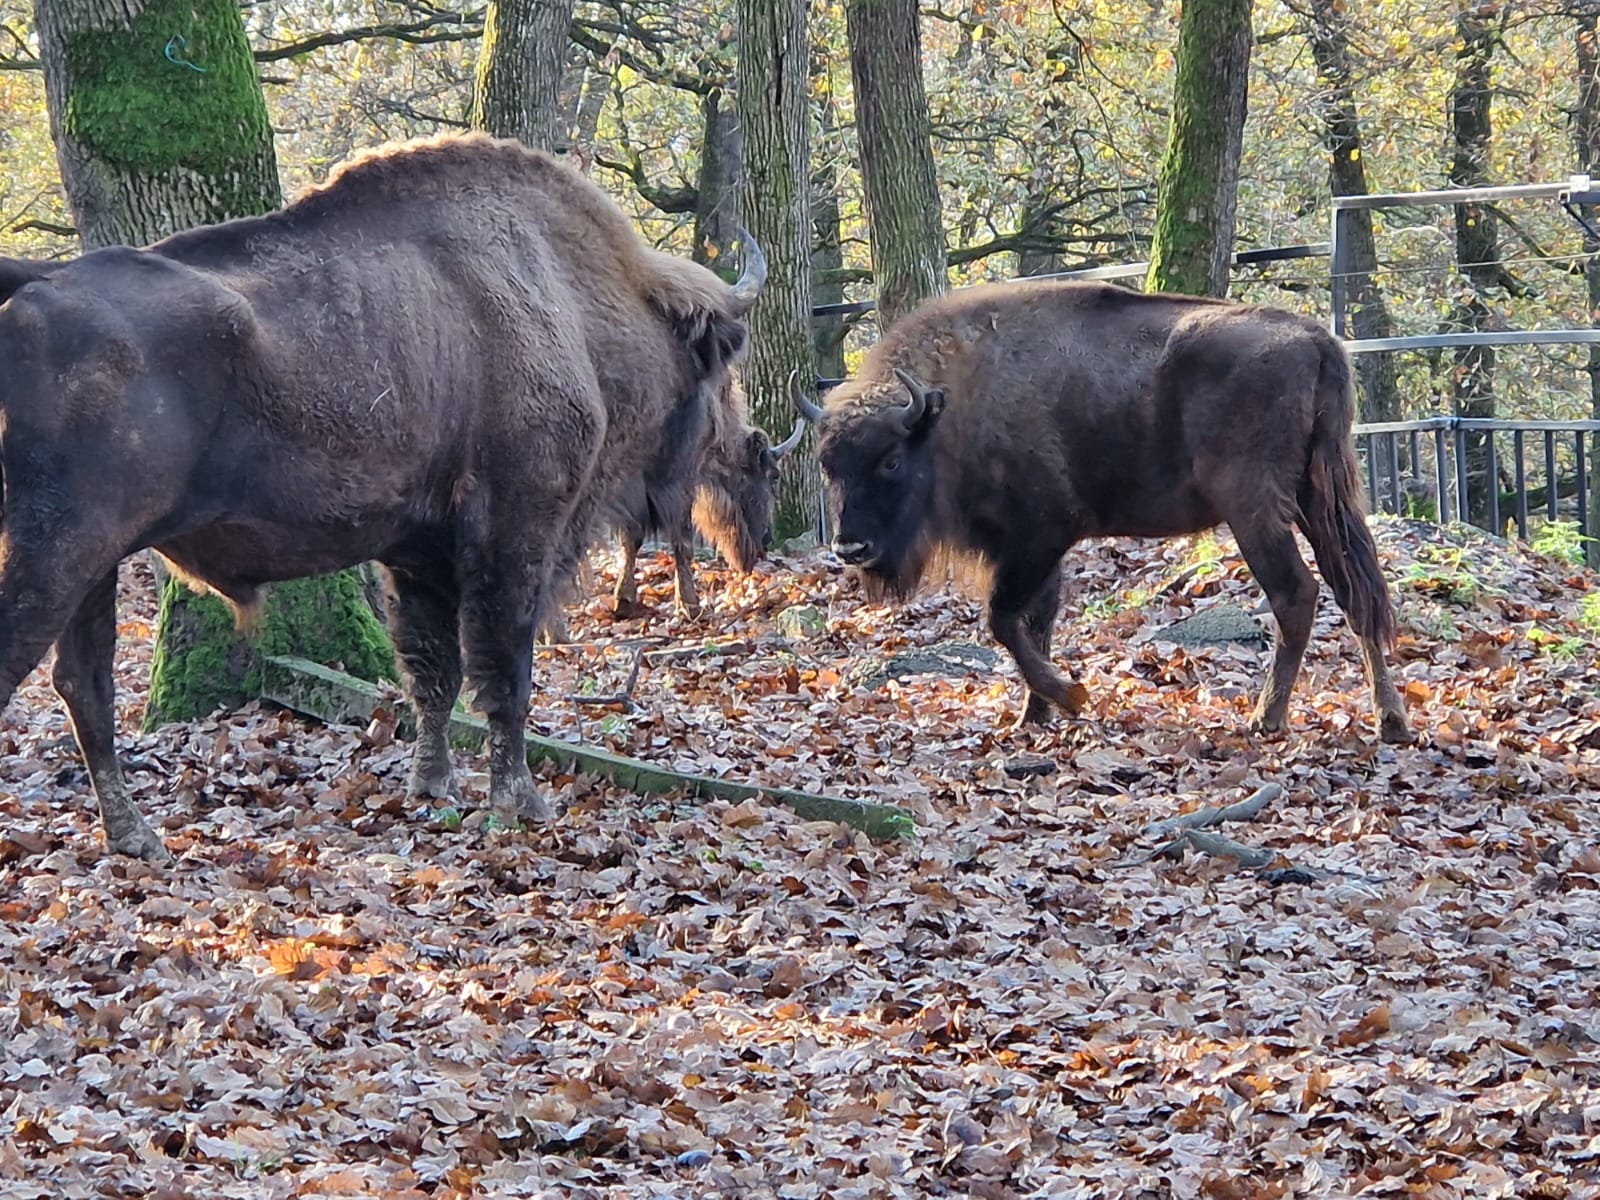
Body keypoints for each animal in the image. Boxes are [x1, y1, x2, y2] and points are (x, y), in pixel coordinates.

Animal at [0, 131, 768, 864]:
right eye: (720, 370)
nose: (730, 441)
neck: (575, 303)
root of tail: (40, 278)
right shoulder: (517, 529)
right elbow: (505, 671)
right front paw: (521, 801)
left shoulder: (418, 553)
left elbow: (435, 672)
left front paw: (432, 785)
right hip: (56, 549)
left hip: (93, 564)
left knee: (84, 684)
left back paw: (137, 838)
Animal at [790, 281, 1414, 748]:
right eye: (828, 466)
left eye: (892, 460)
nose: (851, 548)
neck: (947, 410)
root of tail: (1318, 339)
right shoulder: (1031, 552)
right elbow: (1034, 623)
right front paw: (1034, 714)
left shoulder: (1039, 537)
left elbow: (1004, 620)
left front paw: (1069, 696)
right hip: (1318, 500)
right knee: (1357, 594)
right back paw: (1391, 721)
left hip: (1255, 509)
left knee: (1296, 594)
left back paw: (1266, 718)